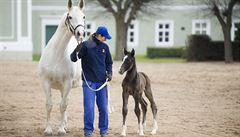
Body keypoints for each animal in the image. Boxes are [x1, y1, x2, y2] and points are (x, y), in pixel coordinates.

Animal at [38, 0, 85, 135]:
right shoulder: (46, 82)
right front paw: (48, 130)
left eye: (83, 17)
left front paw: (61, 130)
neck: (56, 54)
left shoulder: (67, 83)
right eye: (70, 17)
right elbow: (49, 105)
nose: (81, 33)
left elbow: (62, 106)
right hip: (61, 88)